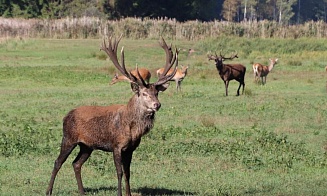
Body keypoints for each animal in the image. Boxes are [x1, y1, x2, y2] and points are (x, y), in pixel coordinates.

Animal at [45, 35, 179, 196]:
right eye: (144, 93)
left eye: (157, 92)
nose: (157, 105)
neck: (131, 129)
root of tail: (66, 116)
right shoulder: (116, 145)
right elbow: (119, 172)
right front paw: (119, 193)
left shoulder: (130, 149)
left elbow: (128, 173)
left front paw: (128, 194)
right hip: (68, 138)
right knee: (58, 162)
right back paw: (48, 191)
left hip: (87, 146)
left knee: (76, 163)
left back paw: (82, 191)